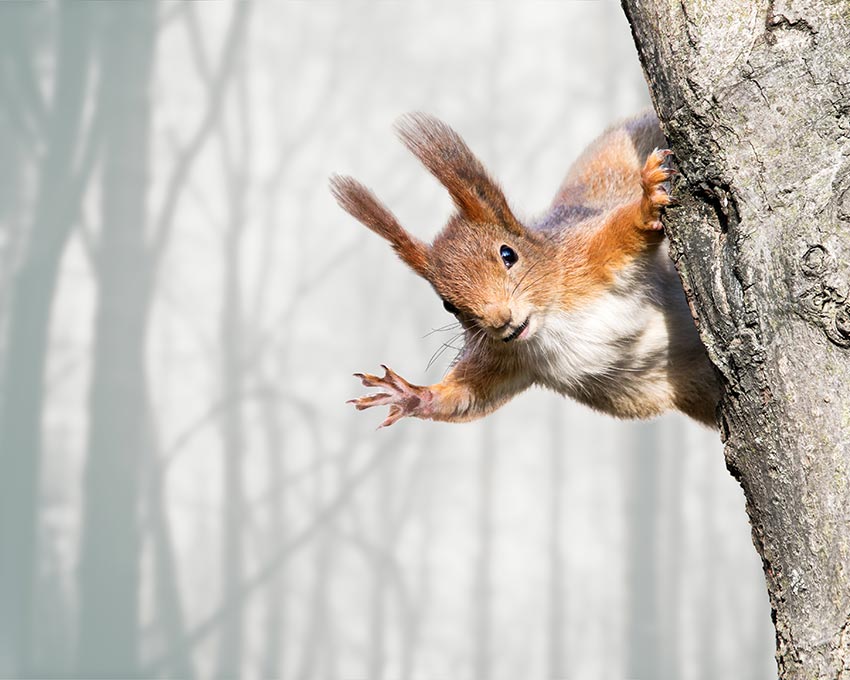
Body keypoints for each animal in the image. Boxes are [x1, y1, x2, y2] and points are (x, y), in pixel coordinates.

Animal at [330, 113, 716, 428]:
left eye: (508, 254)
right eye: (448, 305)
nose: (500, 320)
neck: (551, 322)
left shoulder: (586, 256)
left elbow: (622, 230)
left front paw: (647, 201)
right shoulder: (506, 358)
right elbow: (468, 396)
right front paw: (410, 394)